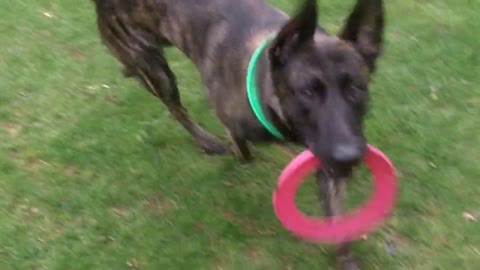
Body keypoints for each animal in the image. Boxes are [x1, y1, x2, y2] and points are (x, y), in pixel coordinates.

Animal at [91, 0, 386, 268]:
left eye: (356, 88)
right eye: (307, 92)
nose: (349, 156)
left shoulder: (326, 153)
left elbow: (337, 218)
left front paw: (346, 259)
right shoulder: (231, 117)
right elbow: (240, 146)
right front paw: (240, 155)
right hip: (156, 71)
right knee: (176, 109)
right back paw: (207, 142)